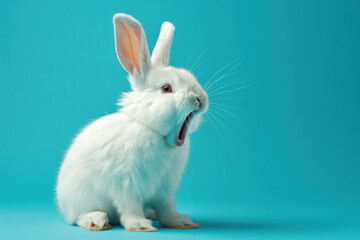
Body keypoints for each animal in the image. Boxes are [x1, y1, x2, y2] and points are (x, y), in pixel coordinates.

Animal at [55, 13, 210, 232]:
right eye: (166, 88)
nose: (201, 99)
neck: (153, 131)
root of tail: (63, 206)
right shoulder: (127, 184)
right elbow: (130, 207)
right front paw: (140, 226)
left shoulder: (165, 188)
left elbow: (167, 208)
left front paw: (181, 222)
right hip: (82, 200)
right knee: (78, 218)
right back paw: (97, 221)